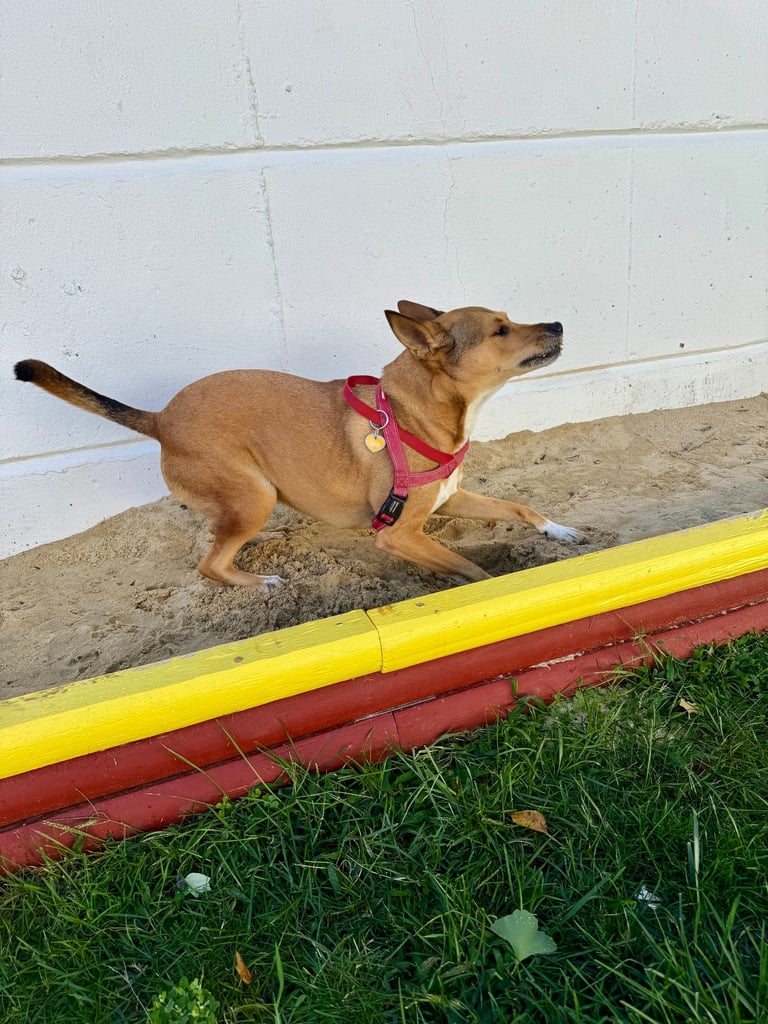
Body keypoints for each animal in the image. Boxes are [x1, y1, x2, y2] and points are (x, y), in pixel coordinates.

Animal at [15, 301, 583, 590]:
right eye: (500, 330)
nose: (558, 323)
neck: (411, 413)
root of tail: (161, 418)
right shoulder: (398, 534)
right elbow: (471, 567)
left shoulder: (452, 498)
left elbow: (519, 506)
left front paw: (560, 530)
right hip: (252, 495)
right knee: (210, 564)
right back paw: (259, 580)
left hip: (252, 499)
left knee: (217, 537)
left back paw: (261, 544)